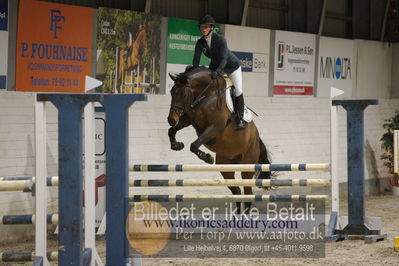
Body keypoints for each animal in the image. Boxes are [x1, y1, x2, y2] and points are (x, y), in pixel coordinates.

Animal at [166, 66, 272, 214]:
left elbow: (194, 145)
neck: (205, 95)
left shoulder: (216, 126)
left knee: (247, 193)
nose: (171, 119)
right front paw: (176, 145)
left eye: (183, 95)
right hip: (226, 166)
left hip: (247, 165)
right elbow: (172, 131)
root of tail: (256, 138)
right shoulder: (189, 120)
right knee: (237, 191)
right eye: (171, 92)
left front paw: (207, 157)